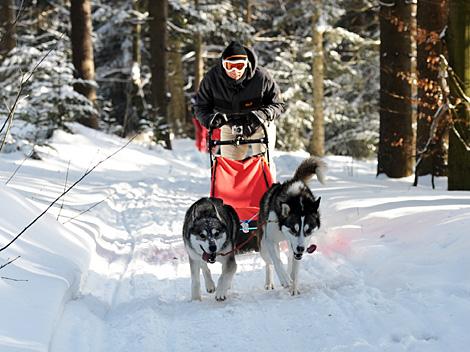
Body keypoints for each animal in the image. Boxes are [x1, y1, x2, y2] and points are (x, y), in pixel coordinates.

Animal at [258, 157, 326, 294]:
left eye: (308, 230)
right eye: (293, 229)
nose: (301, 249)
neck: (298, 201)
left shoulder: (300, 246)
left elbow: (295, 269)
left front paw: (294, 287)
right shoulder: (270, 240)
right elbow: (277, 260)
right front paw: (284, 279)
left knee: (289, 259)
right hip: (263, 246)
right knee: (269, 262)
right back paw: (269, 282)